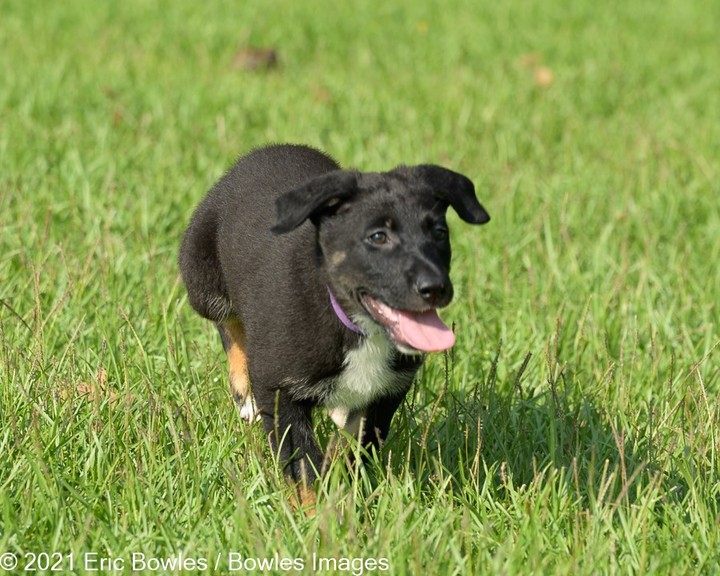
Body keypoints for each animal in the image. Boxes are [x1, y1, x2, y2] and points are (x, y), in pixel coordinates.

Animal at [179, 144, 490, 504]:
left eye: (439, 233)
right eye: (378, 236)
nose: (436, 287)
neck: (359, 328)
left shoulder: (388, 391)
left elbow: (356, 445)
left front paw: (343, 484)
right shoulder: (279, 391)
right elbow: (303, 466)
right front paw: (318, 512)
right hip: (203, 281)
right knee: (228, 325)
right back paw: (245, 394)